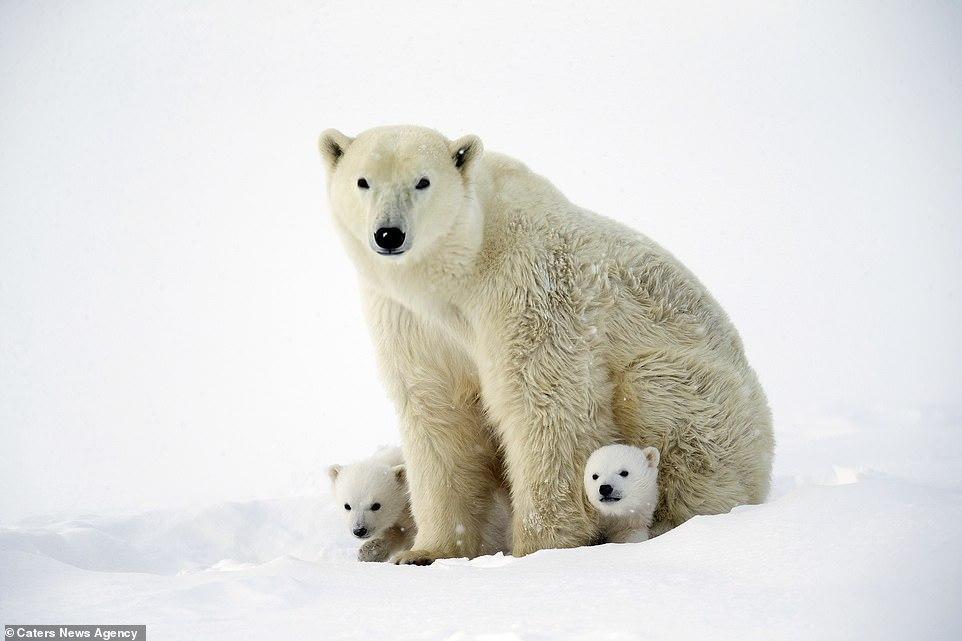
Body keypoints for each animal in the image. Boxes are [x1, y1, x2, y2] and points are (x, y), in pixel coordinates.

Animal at [318, 126, 768, 564]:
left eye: (422, 181)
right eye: (363, 181)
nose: (389, 234)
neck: (463, 269)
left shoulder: (528, 285)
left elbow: (545, 403)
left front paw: (538, 548)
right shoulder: (409, 319)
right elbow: (437, 411)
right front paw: (427, 551)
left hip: (717, 408)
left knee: (658, 394)